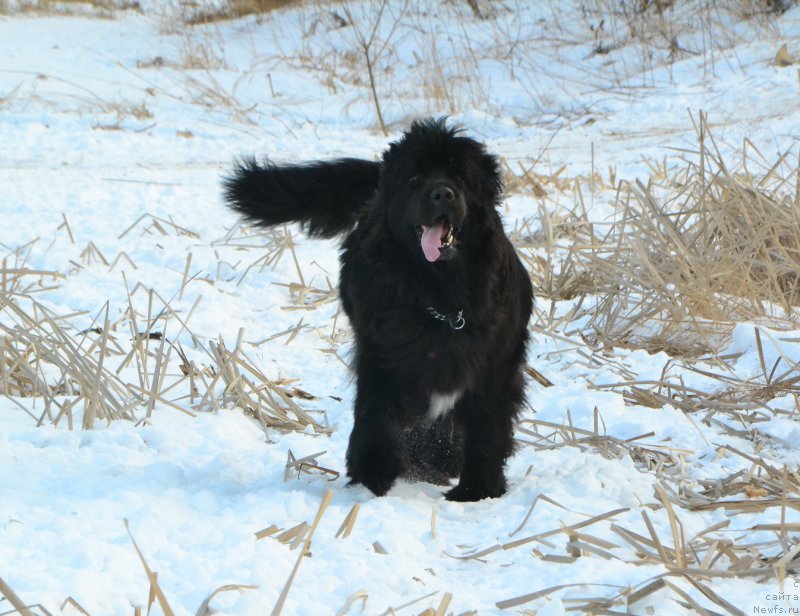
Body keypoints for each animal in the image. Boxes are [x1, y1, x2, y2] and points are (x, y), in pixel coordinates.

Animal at [223, 116, 532, 500]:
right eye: (414, 178)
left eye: (460, 177)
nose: (442, 193)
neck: (442, 296)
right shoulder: (382, 354)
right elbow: (377, 416)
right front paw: (373, 475)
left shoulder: (496, 366)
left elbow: (486, 430)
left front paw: (478, 489)